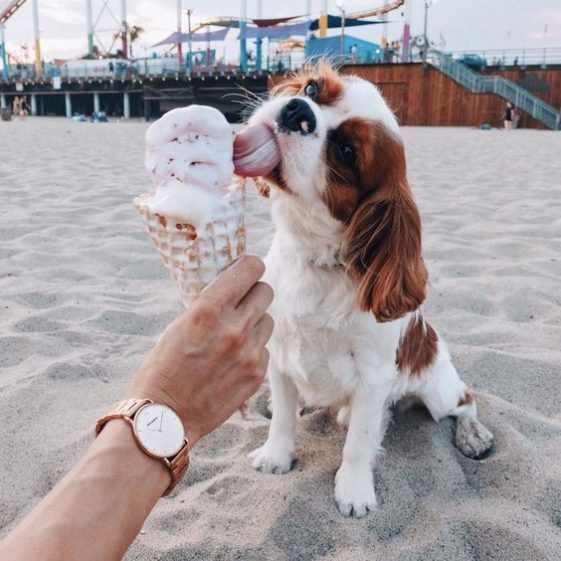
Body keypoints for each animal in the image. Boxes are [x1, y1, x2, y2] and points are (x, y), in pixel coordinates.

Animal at [243, 64, 492, 516]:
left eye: (346, 152)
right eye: (312, 90)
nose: (296, 110)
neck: (315, 258)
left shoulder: (373, 378)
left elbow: (358, 442)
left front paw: (354, 490)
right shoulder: (279, 355)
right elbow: (285, 417)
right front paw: (276, 456)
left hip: (439, 389)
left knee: (465, 401)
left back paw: (473, 435)